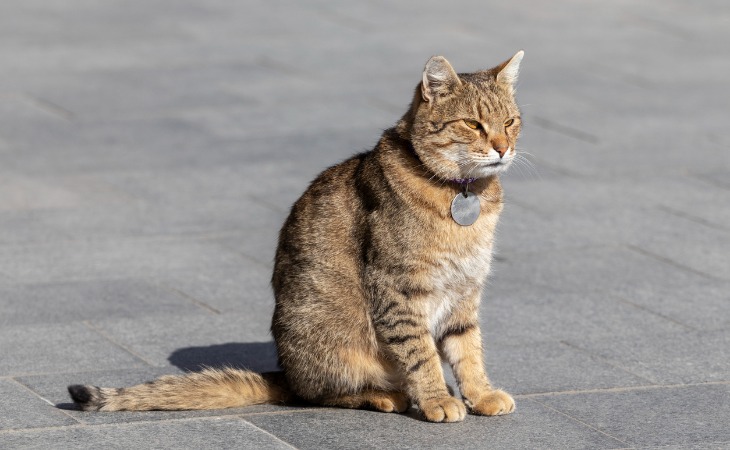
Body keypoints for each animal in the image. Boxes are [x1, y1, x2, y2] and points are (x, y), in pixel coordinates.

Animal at [68, 51, 524, 424]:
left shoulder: (465, 290)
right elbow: (421, 353)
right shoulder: (397, 288)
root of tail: (284, 372)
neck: (464, 195)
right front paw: (436, 398)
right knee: (319, 394)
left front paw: (480, 394)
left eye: (510, 122)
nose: (503, 148)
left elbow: (468, 349)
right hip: (329, 342)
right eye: (473, 124)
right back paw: (385, 395)